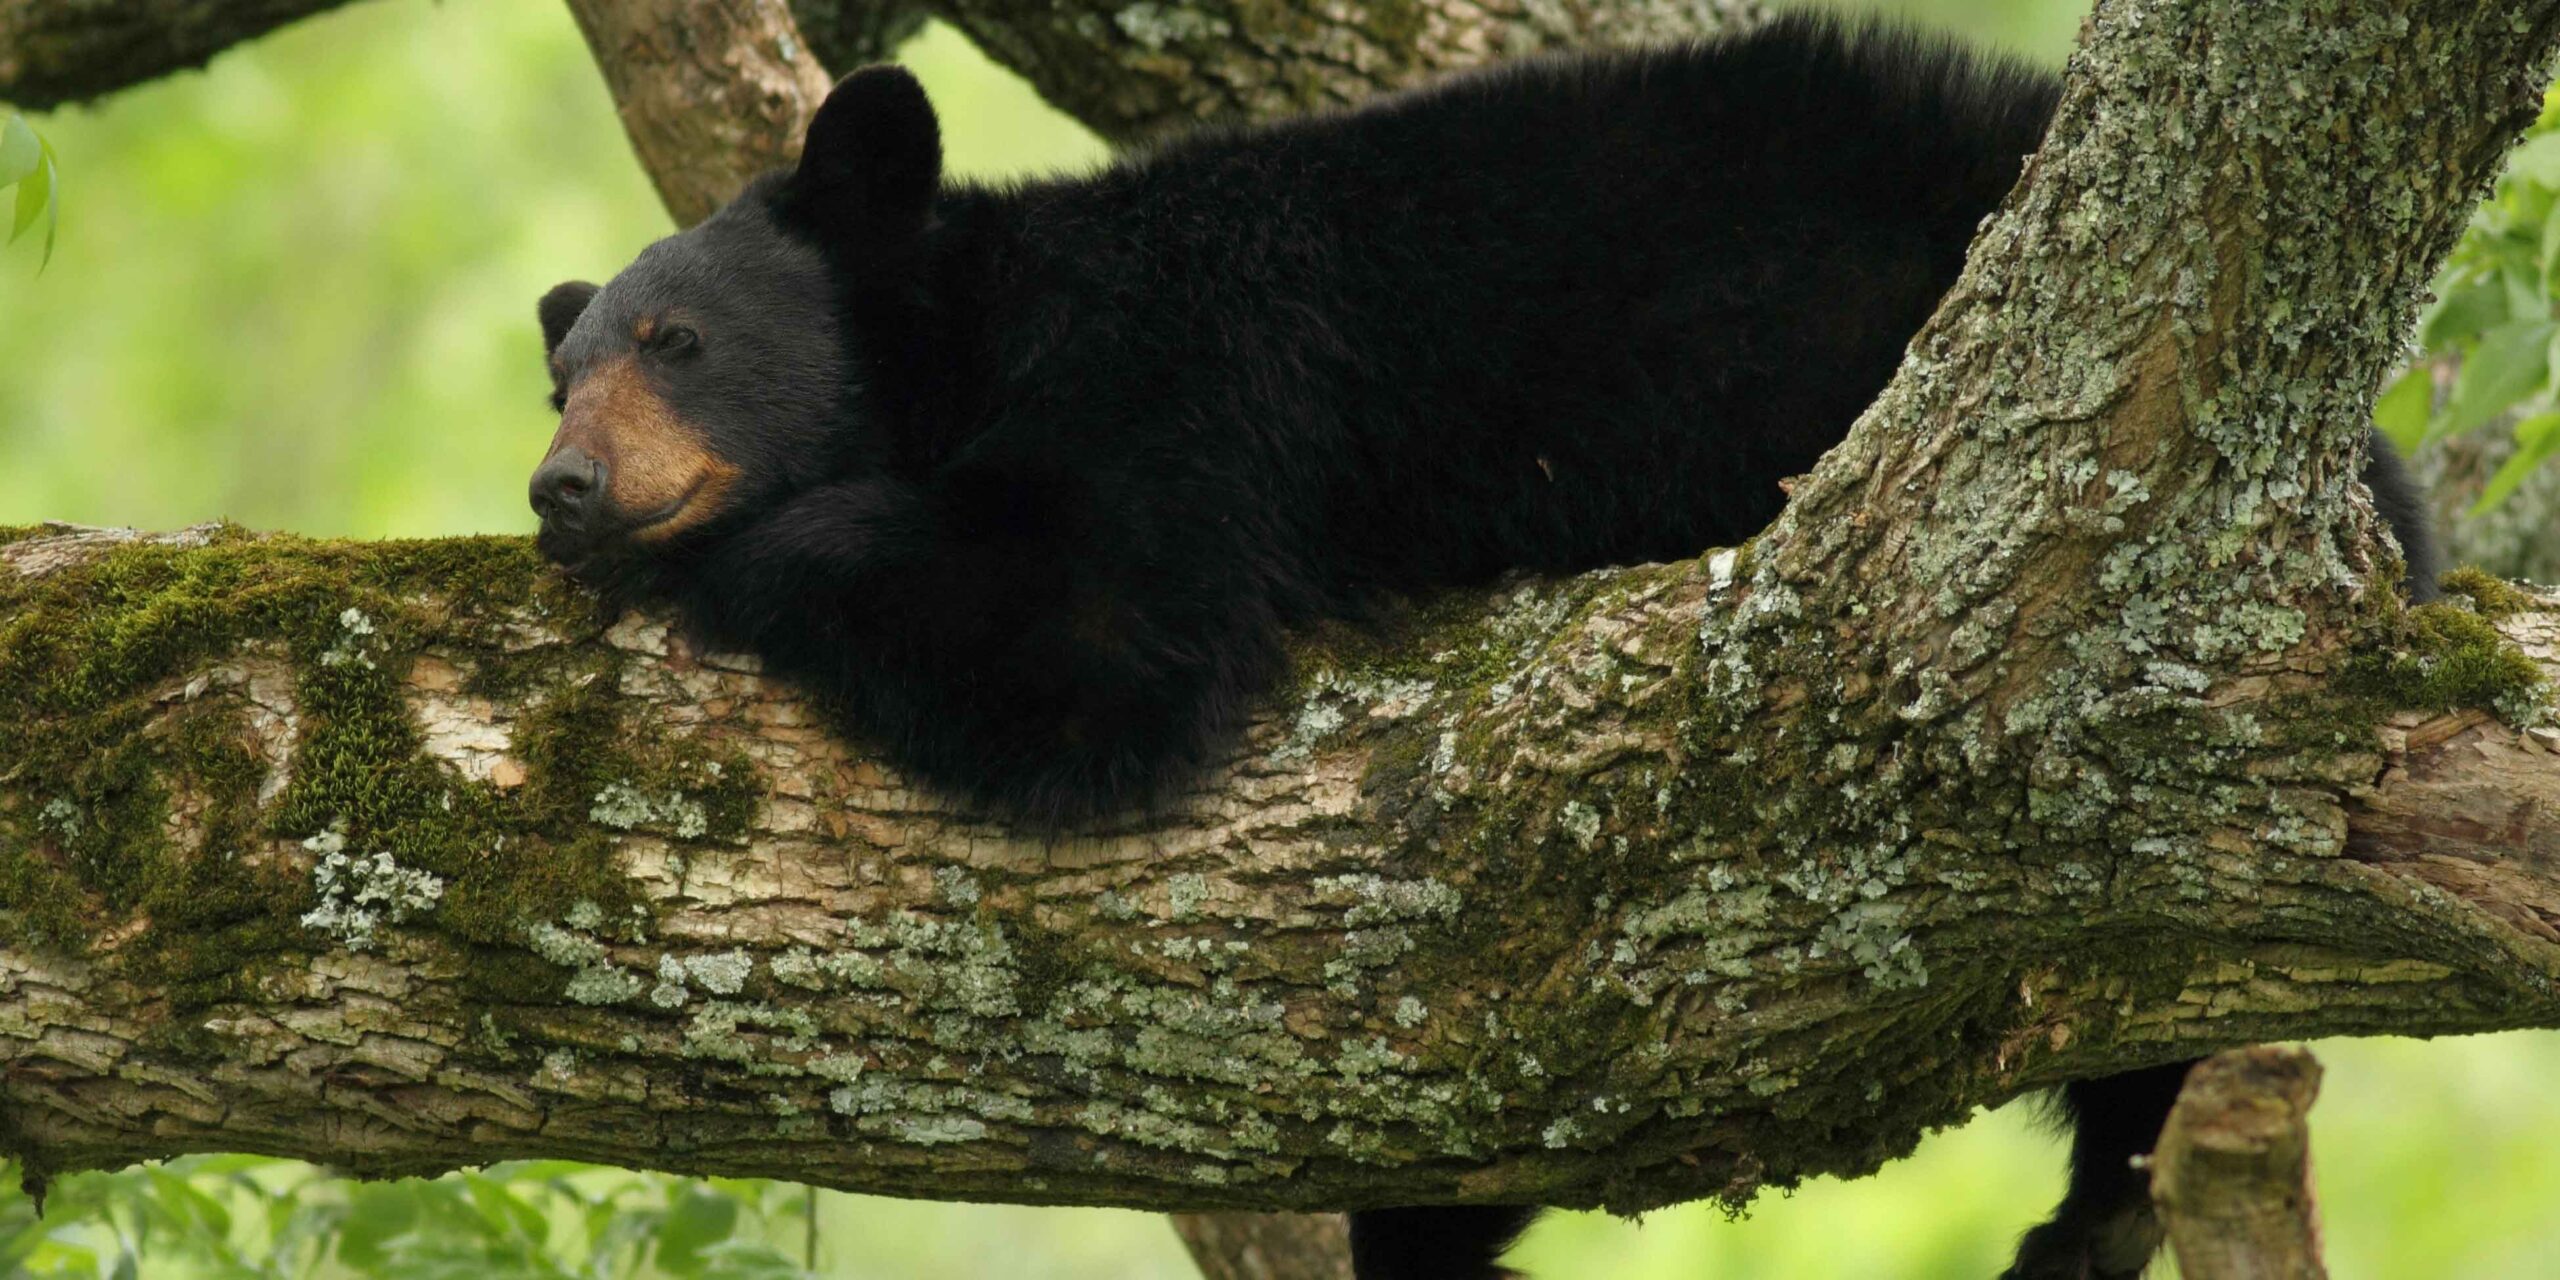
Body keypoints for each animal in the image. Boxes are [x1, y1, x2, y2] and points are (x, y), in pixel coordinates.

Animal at [519, 12, 2437, 1280]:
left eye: (678, 342)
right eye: (563, 374)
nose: (560, 484)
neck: (981, 325)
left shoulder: (1192, 375)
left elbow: (1103, 647)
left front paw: (740, 548)